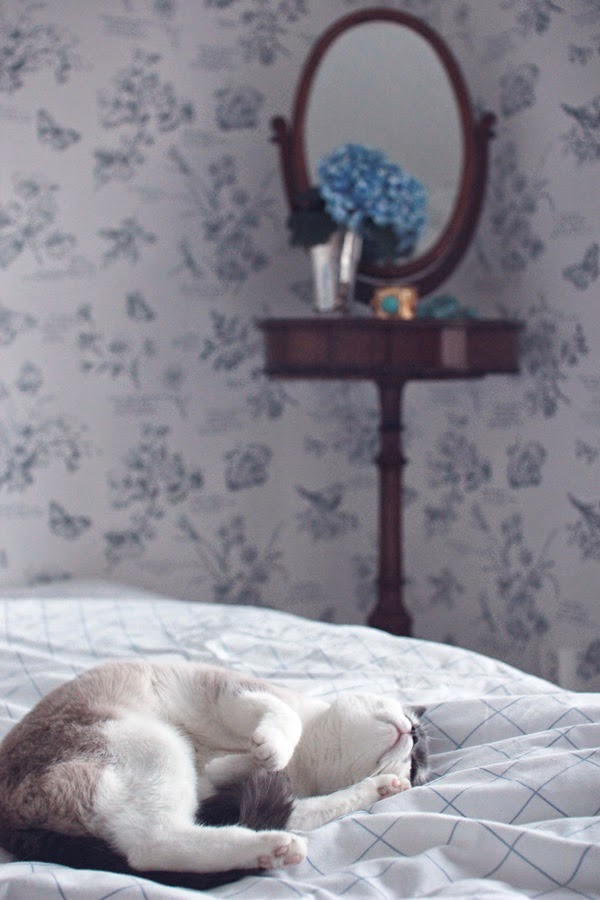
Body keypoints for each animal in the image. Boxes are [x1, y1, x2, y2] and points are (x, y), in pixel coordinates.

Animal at [0, 660, 428, 890]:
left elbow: (325, 803)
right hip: (156, 743)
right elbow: (283, 720)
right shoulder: (233, 691)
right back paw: (274, 845)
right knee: (151, 846)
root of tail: (10, 821)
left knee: (157, 844)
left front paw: (386, 787)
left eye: (415, 764)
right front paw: (268, 750)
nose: (413, 732)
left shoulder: (263, 797)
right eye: (416, 744)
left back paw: (272, 847)